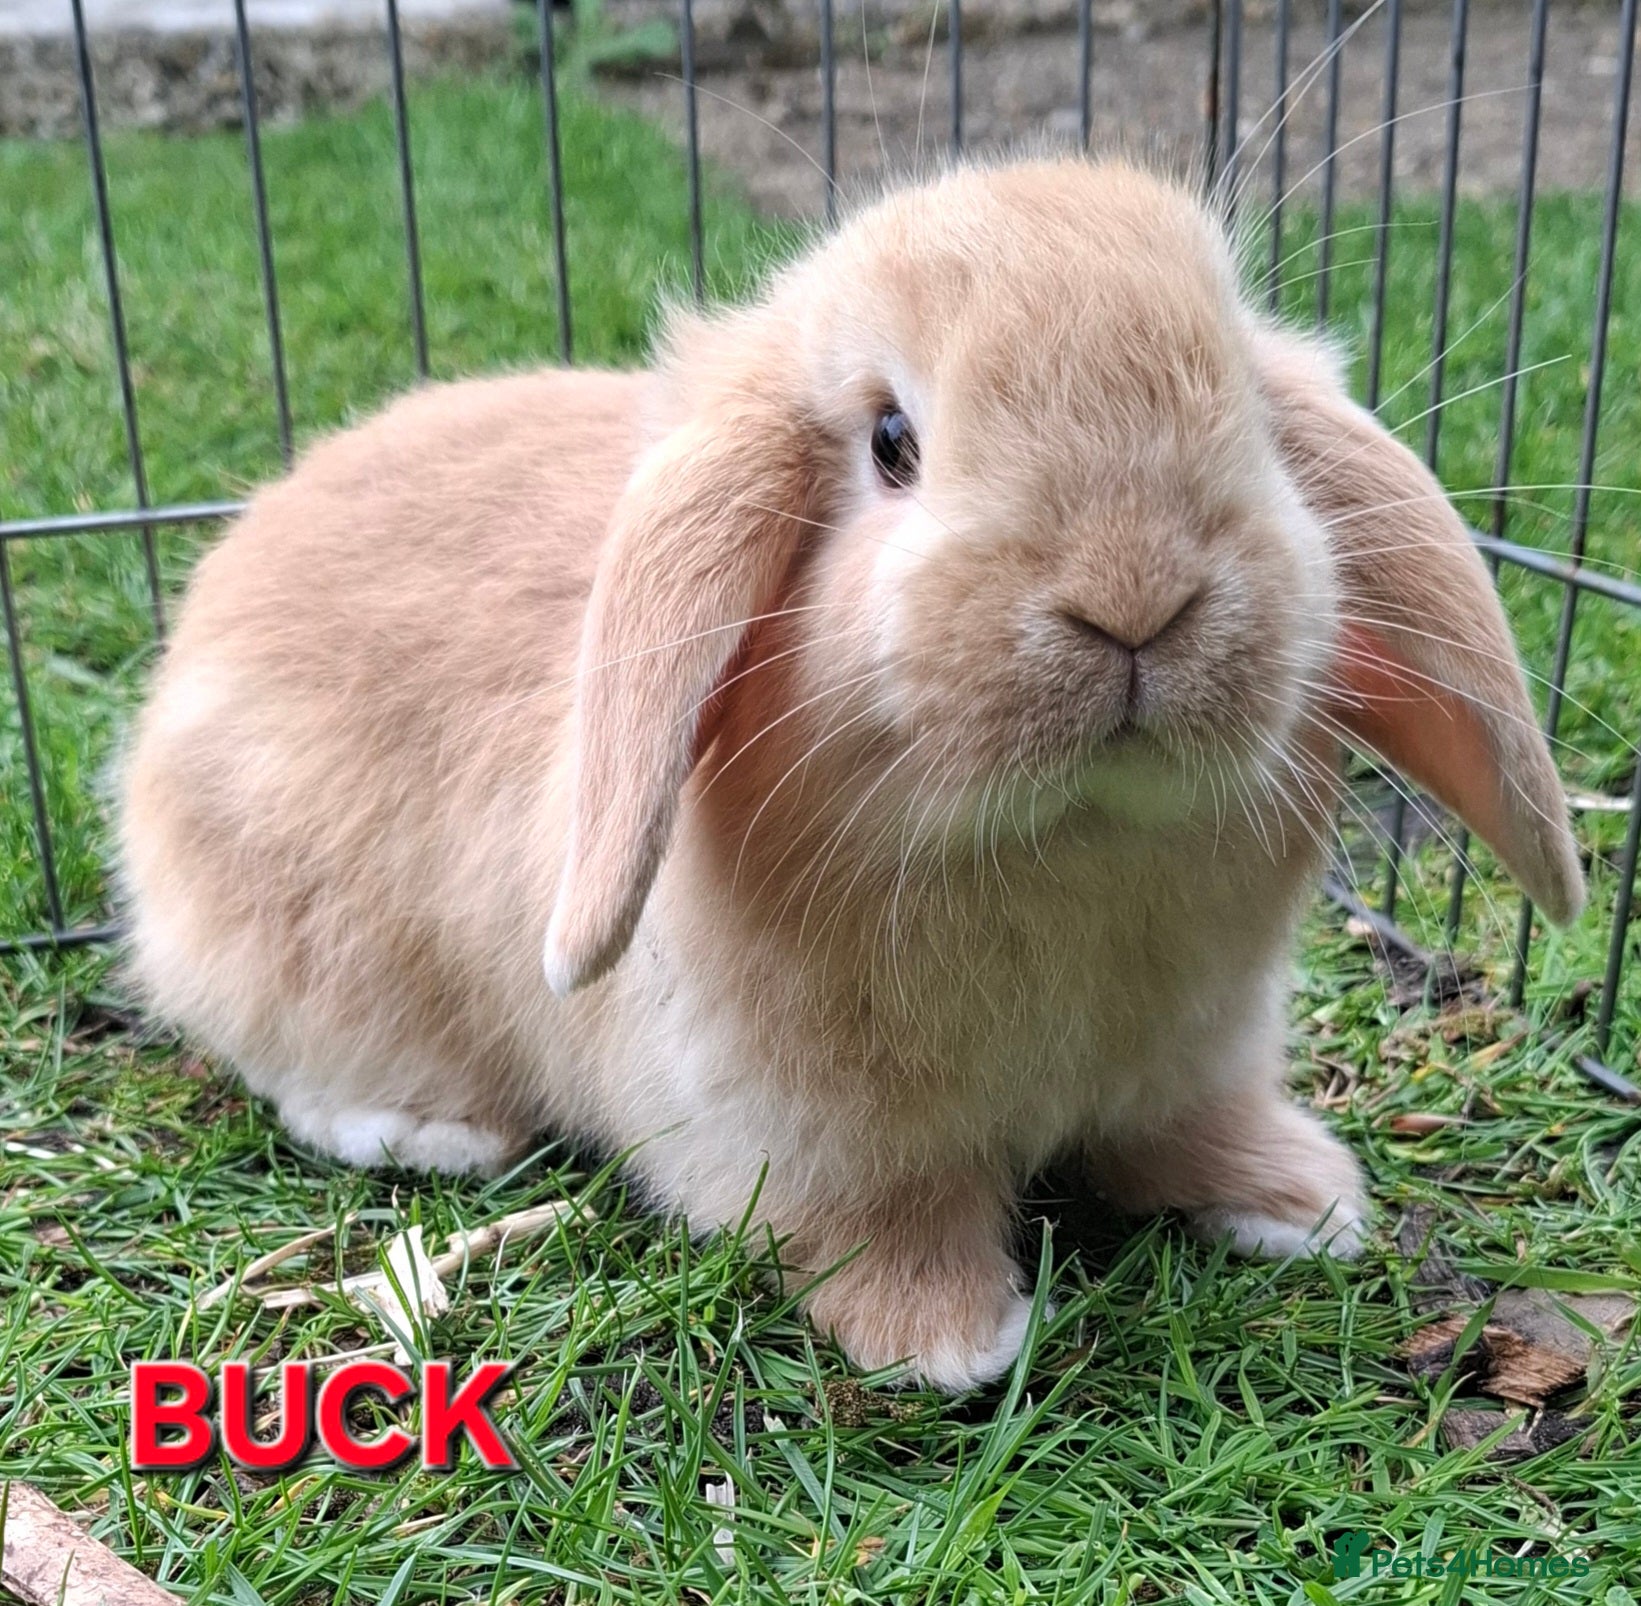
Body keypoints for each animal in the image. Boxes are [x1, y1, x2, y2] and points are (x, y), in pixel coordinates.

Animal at [117, 156, 1583, 1391]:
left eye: (1256, 424)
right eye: (892, 443)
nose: (1133, 594)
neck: (1067, 843)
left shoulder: (1193, 1052)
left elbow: (1184, 1130)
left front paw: (1300, 1200)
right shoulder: (811, 1130)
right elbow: (875, 1219)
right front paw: (950, 1336)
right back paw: (432, 1132)